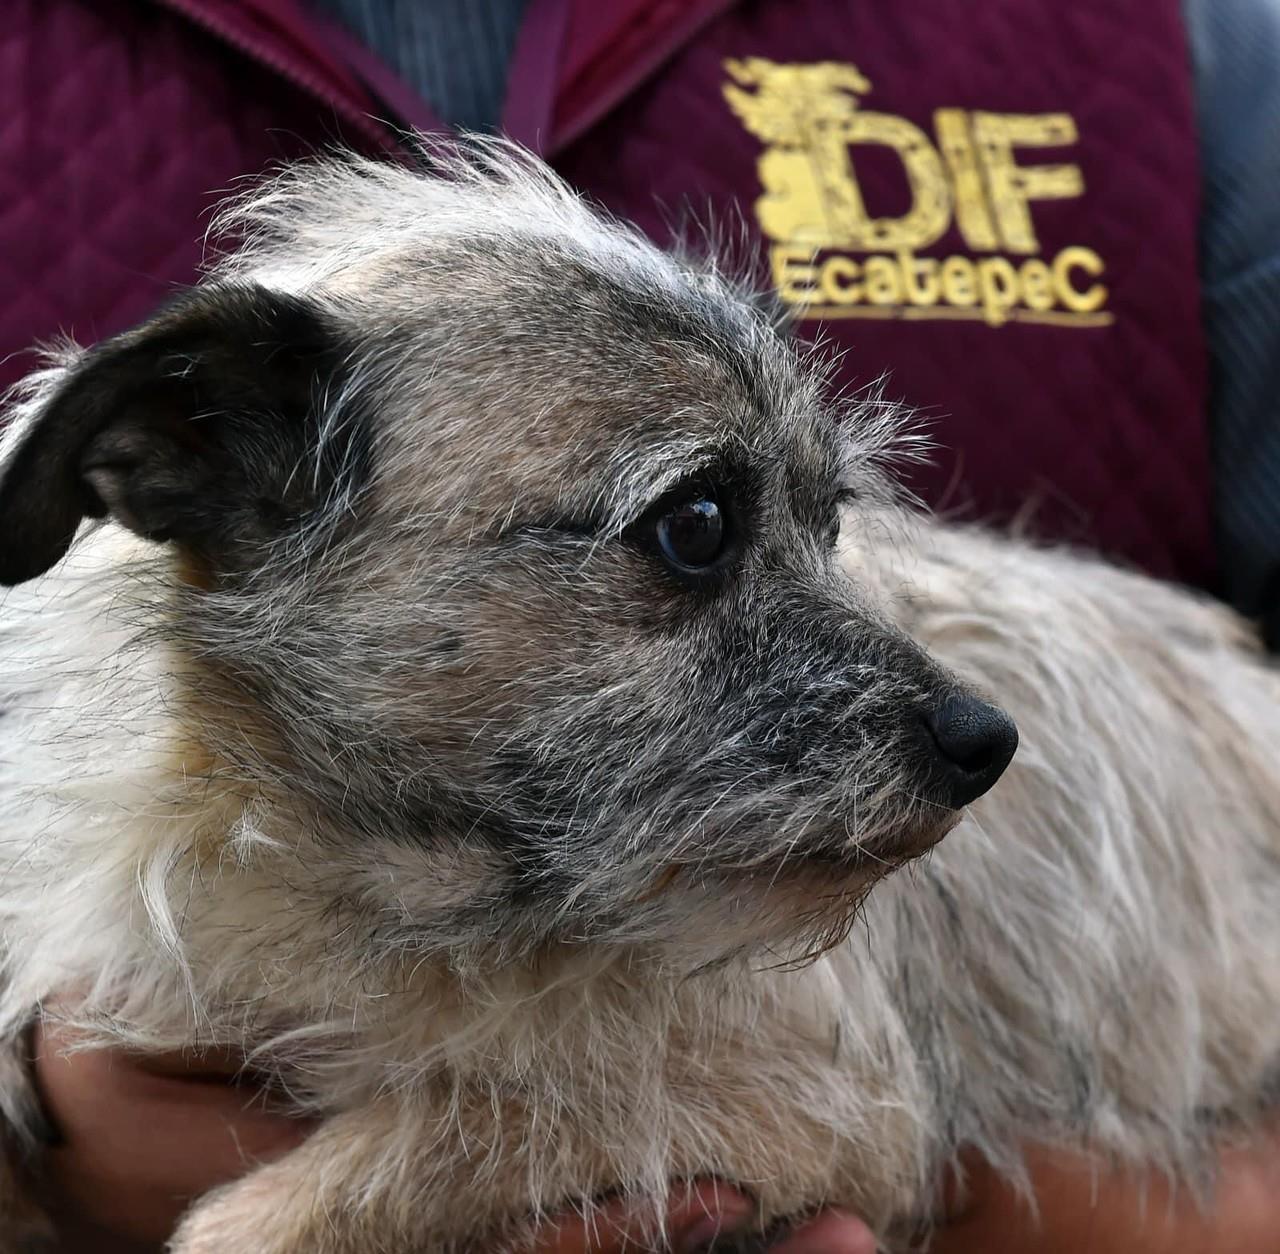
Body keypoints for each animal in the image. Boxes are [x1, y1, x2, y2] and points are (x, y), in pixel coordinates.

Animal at [2, 142, 1280, 1248]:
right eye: (697, 524)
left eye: (829, 524)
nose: (988, 743)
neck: (402, 881)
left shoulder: (812, 1103)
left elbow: (467, 1122)